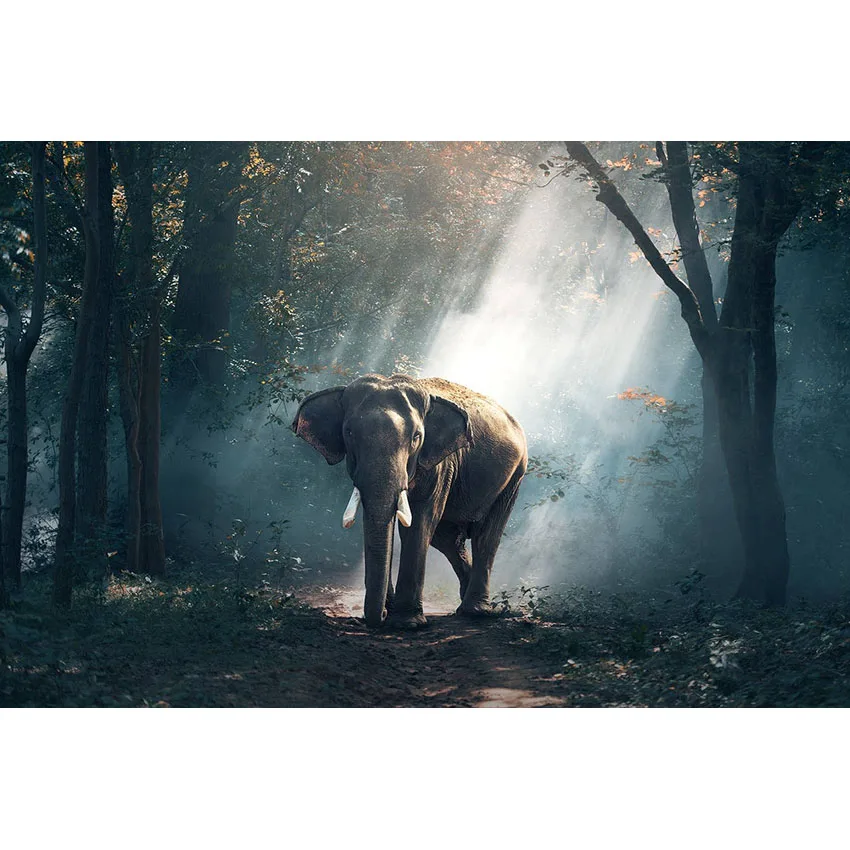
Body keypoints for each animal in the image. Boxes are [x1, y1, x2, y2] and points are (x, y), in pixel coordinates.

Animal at [291, 374, 527, 629]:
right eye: (349, 433)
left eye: (416, 437)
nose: (381, 616)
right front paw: (392, 612)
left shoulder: (440, 464)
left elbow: (419, 522)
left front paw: (407, 623)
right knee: (447, 539)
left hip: (514, 476)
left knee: (486, 535)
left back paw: (476, 611)